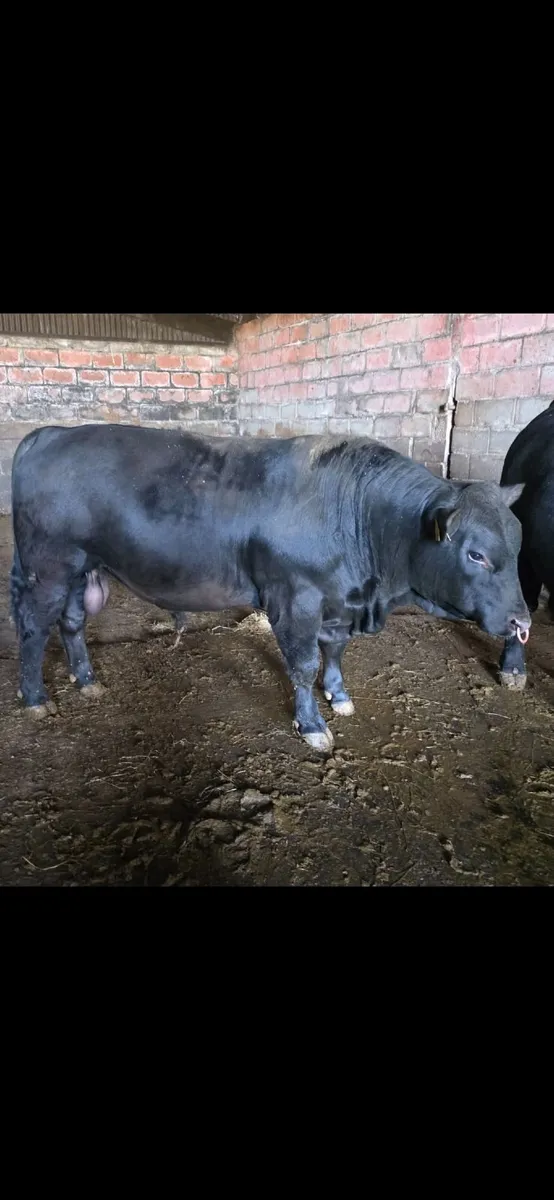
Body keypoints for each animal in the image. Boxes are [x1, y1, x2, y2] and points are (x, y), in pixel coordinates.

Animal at [10, 424, 530, 751]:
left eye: (519, 542)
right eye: (476, 554)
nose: (522, 622)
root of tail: (49, 433)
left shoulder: (338, 602)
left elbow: (334, 651)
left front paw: (339, 696)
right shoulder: (295, 599)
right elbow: (302, 665)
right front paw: (312, 725)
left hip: (80, 569)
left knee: (71, 623)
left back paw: (87, 681)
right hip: (47, 568)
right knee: (34, 630)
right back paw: (35, 698)